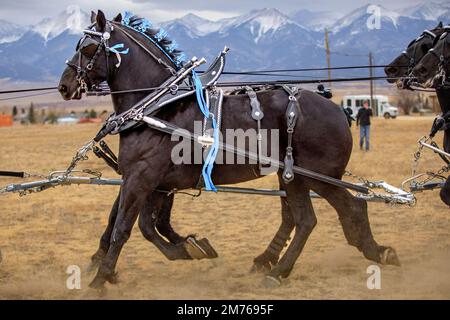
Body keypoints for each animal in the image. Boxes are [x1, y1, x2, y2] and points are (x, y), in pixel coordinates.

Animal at [58, 10, 400, 290]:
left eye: (87, 47)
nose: (64, 85)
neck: (156, 106)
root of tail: (339, 109)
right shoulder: (150, 181)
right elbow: (141, 224)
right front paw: (189, 247)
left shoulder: (143, 177)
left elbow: (126, 228)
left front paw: (101, 279)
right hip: (292, 177)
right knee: (303, 218)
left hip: (318, 176)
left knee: (340, 212)